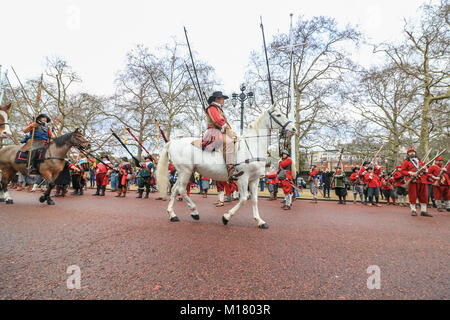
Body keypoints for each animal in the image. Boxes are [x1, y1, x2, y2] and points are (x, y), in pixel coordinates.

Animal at [156, 106, 298, 229]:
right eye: (278, 115)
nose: (294, 129)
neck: (251, 145)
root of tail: (173, 142)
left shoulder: (254, 180)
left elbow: (254, 200)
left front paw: (260, 221)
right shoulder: (242, 178)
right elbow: (243, 199)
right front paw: (226, 217)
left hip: (183, 173)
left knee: (175, 189)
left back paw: (172, 214)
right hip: (185, 171)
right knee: (181, 189)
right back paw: (194, 212)